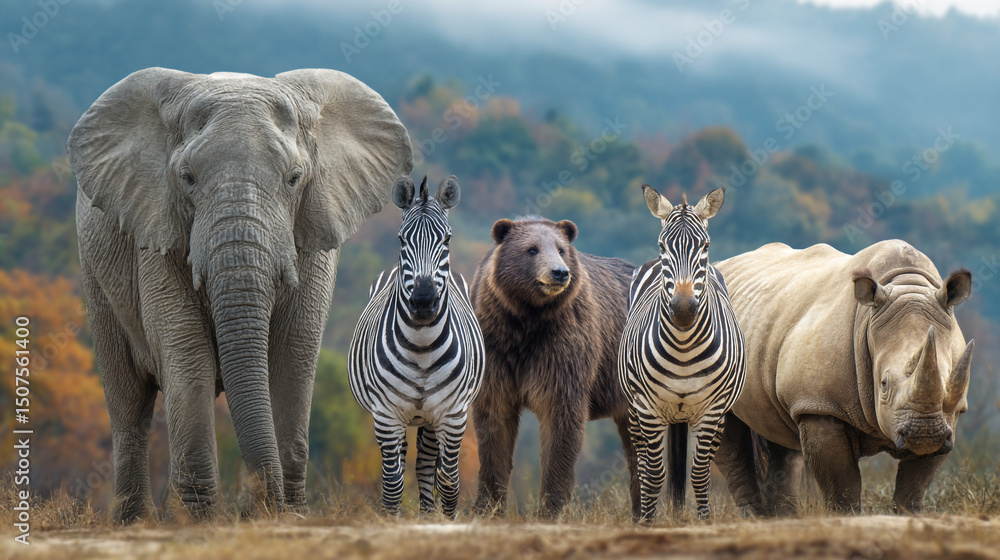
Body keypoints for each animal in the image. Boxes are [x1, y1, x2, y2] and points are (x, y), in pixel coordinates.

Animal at [68, 67, 413, 522]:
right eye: (187, 179)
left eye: (294, 179)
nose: (263, 507)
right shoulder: (156, 231)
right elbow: (187, 352)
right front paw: (200, 522)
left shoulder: (314, 234)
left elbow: (294, 352)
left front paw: (289, 516)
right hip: (95, 275)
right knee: (129, 403)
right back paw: (133, 523)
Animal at [348, 175, 485, 518]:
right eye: (401, 240)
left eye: (447, 240)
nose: (423, 300)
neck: (422, 348)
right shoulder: (386, 415)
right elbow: (392, 487)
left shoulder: (453, 414)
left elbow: (448, 483)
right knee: (405, 460)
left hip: (432, 418)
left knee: (425, 464)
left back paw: (427, 512)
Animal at [470, 216, 639, 519]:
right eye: (532, 249)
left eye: (561, 249)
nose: (559, 273)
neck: (526, 319)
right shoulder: (496, 352)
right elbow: (494, 424)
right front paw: (487, 507)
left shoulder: (562, 350)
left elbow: (560, 424)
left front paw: (549, 508)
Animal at [618, 185, 746, 520]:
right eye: (663, 245)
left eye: (706, 245)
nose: (685, 309)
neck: (684, 348)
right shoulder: (649, 409)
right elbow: (655, 474)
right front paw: (647, 522)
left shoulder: (711, 410)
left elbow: (699, 474)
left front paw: (704, 521)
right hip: (634, 410)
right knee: (643, 467)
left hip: (718, 417)